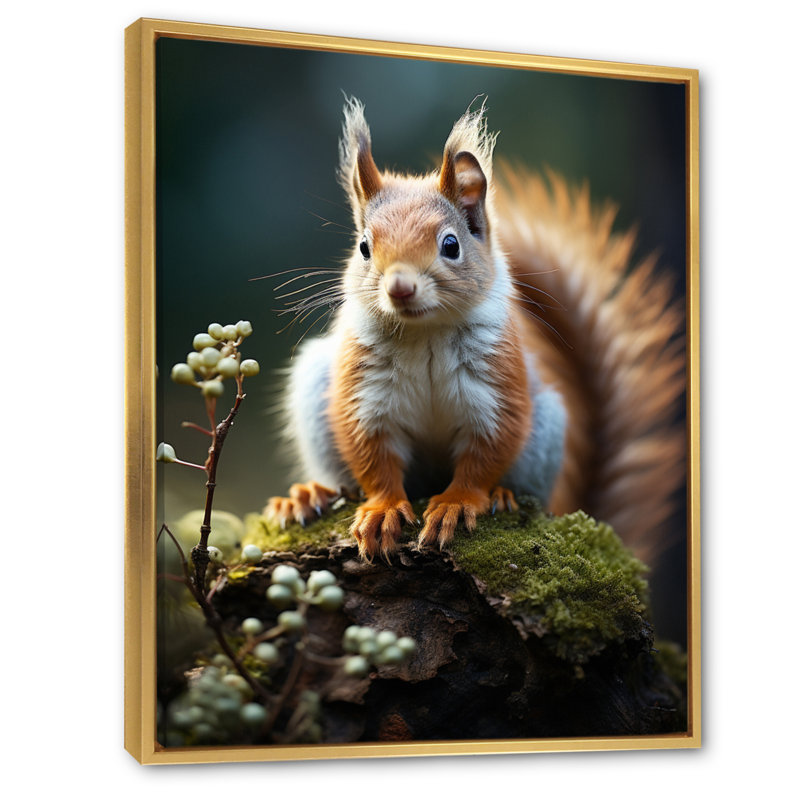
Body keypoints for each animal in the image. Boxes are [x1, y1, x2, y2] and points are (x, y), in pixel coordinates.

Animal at [265, 97, 685, 563]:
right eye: (363, 247)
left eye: (451, 245)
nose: (399, 287)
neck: (425, 333)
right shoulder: (365, 395)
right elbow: (373, 457)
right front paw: (383, 509)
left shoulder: (495, 391)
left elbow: (486, 452)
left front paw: (456, 503)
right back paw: (308, 495)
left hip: (546, 430)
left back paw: (503, 496)